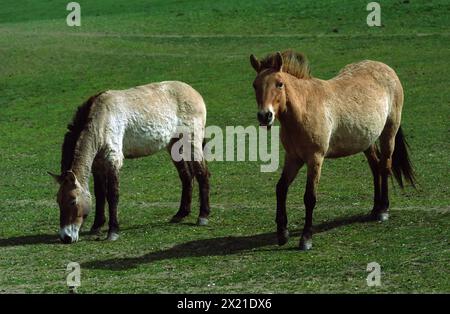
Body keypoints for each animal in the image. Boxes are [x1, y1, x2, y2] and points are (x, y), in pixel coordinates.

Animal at [49, 80, 211, 243]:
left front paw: (113, 232)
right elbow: (99, 194)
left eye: (72, 201)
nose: (66, 237)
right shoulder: (97, 165)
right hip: (174, 146)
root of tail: (194, 92)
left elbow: (112, 195)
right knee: (187, 177)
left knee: (202, 174)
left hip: (192, 143)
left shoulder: (113, 161)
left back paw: (203, 216)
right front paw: (96, 227)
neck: (101, 119)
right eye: (58, 201)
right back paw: (180, 214)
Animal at [250, 49, 414, 250]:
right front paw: (282, 234)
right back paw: (375, 209)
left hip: (388, 134)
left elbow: (309, 197)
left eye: (279, 84)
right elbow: (281, 188)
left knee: (385, 167)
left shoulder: (315, 159)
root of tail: (387, 69)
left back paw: (384, 210)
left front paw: (306, 238)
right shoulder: (293, 158)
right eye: (255, 85)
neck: (304, 109)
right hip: (367, 141)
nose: (265, 116)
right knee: (376, 168)